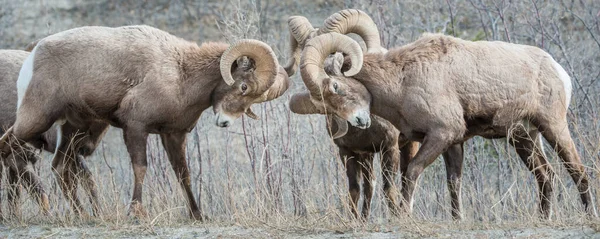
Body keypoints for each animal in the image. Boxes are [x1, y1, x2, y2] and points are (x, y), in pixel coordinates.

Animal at [284, 9, 418, 218]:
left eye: (332, 52)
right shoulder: (348, 153)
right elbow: (355, 190)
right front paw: (355, 220)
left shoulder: (389, 148)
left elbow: (389, 189)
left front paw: (397, 217)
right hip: (367, 158)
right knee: (370, 186)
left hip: (409, 146)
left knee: (406, 179)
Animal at [292, 30, 596, 219]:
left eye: (336, 86)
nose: (359, 120)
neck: (402, 80)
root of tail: (557, 69)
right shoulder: (453, 142)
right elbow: (453, 184)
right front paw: (457, 219)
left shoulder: (441, 134)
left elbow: (411, 173)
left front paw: (404, 215)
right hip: (523, 137)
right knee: (546, 176)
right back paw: (544, 218)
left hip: (553, 127)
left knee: (578, 170)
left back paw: (589, 214)